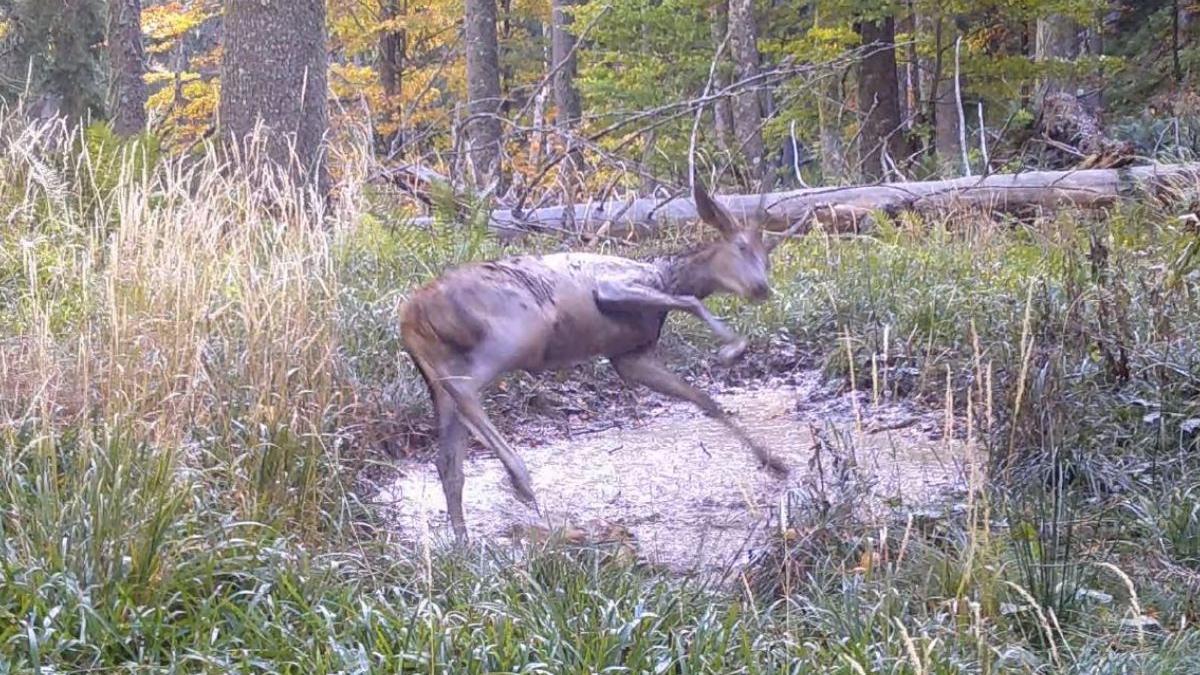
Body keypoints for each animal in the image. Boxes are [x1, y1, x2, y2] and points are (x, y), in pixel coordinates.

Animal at [403, 181, 792, 538]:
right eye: (741, 247)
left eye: (768, 258)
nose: (761, 288)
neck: (666, 276)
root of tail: (410, 314)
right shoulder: (611, 286)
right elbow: (692, 302)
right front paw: (732, 347)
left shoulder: (630, 356)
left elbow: (704, 399)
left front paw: (774, 461)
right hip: (512, 335)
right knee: (466, 393)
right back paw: (521, 481)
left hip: (441, 367)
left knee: (448, 458)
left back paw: (464, 544)